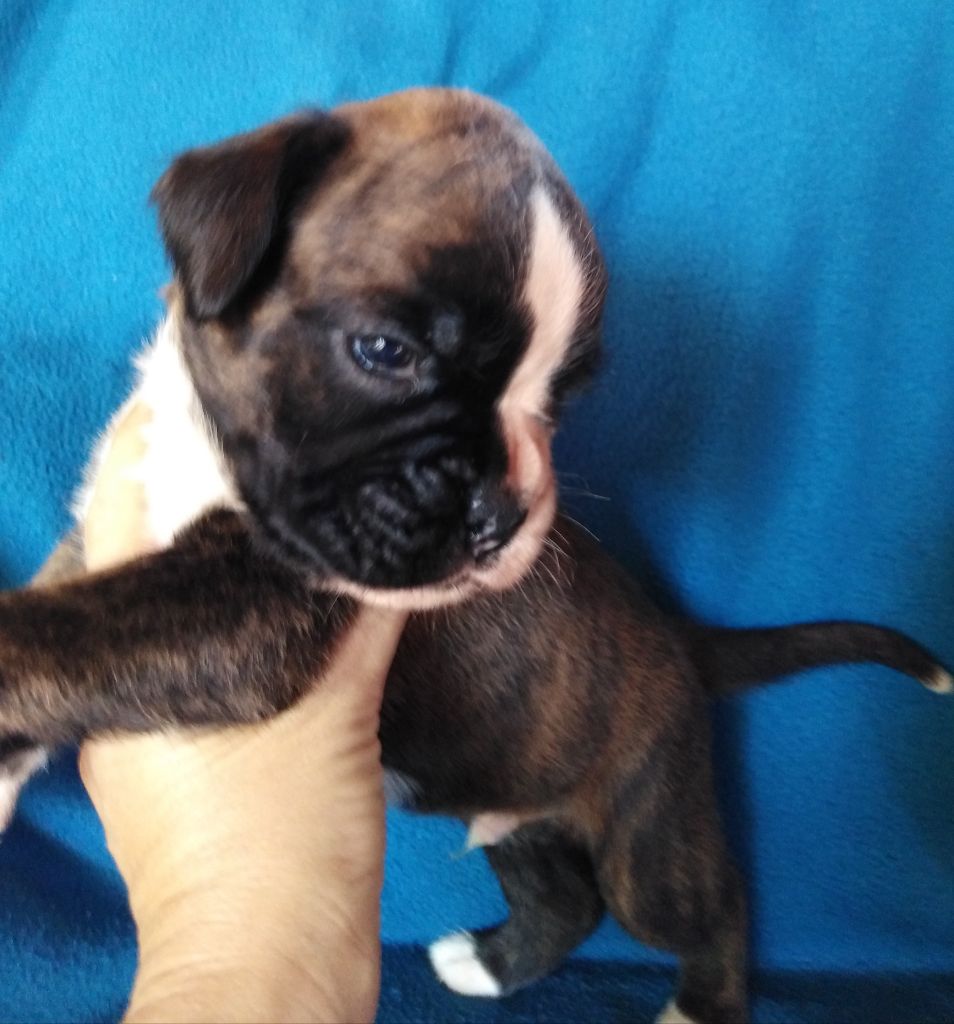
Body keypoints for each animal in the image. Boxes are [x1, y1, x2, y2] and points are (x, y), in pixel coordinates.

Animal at [0, 88, 949, 1024]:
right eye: (387, 351)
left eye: (562, 394)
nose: (504, 509)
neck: (202, 452)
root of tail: (676, 635)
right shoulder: (104, 548)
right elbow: (63, 628)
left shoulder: (251, 612)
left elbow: (52, 638)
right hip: (521, 804)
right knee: (569, 899)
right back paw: (490, 965)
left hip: (647, 833)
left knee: (711, 908)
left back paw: (696, 1007)